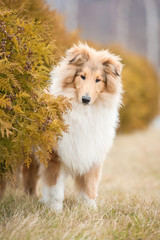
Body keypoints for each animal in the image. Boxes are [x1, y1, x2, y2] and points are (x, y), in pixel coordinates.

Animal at [37, 42, 122, 212]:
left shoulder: (92, 154)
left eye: (98, 80)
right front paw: (56, 210)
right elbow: (55, 188)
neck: (84, 112)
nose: (86, 99)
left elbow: (90, 186)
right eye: (82, 76)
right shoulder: (56, 156)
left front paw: (91, 210)